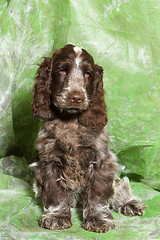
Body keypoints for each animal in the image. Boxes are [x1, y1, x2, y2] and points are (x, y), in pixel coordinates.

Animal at [31, 44, 146, 233]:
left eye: (87, 74)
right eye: (62, 70)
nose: (76, 97)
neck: (70, 122)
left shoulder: (101, 161)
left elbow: (97, 194)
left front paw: (97, 219)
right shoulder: (49, 161)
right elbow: (55, 191)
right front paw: (57, 216)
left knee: (120, 187)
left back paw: (130, 203)